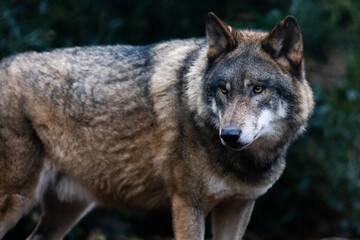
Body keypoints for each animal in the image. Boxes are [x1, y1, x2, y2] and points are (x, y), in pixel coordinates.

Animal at [0, 12, 312, 239]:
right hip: (17, 200)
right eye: (224, 90)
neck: (244, 163)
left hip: (66, 210)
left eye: (258, 89)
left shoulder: (238, 207)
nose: (230, 135)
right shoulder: (188, 203)